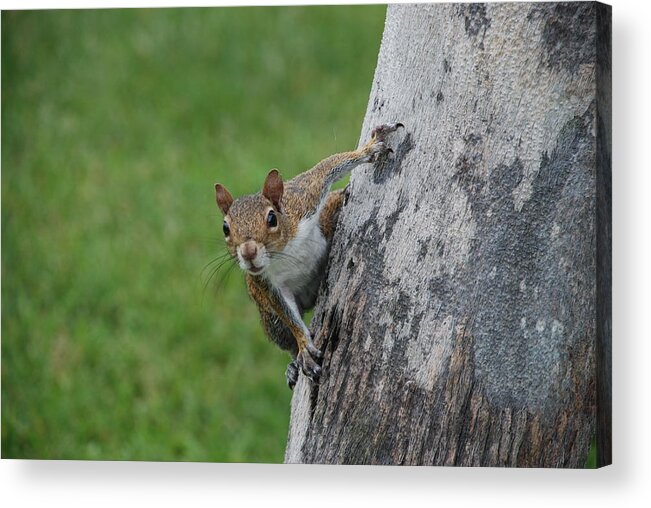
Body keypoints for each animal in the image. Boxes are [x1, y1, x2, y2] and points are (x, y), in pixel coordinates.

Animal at [216, 123, 404, 388]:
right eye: (225, 228)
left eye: (272, 218)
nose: (248, 252)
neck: (283, 253)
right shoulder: (265, 284)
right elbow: (288, 314)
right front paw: (304, 346)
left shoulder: (304, 200)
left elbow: (326, 169)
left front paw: (370, 148)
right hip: (269, 319)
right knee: (284, 337)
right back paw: (293, 366)